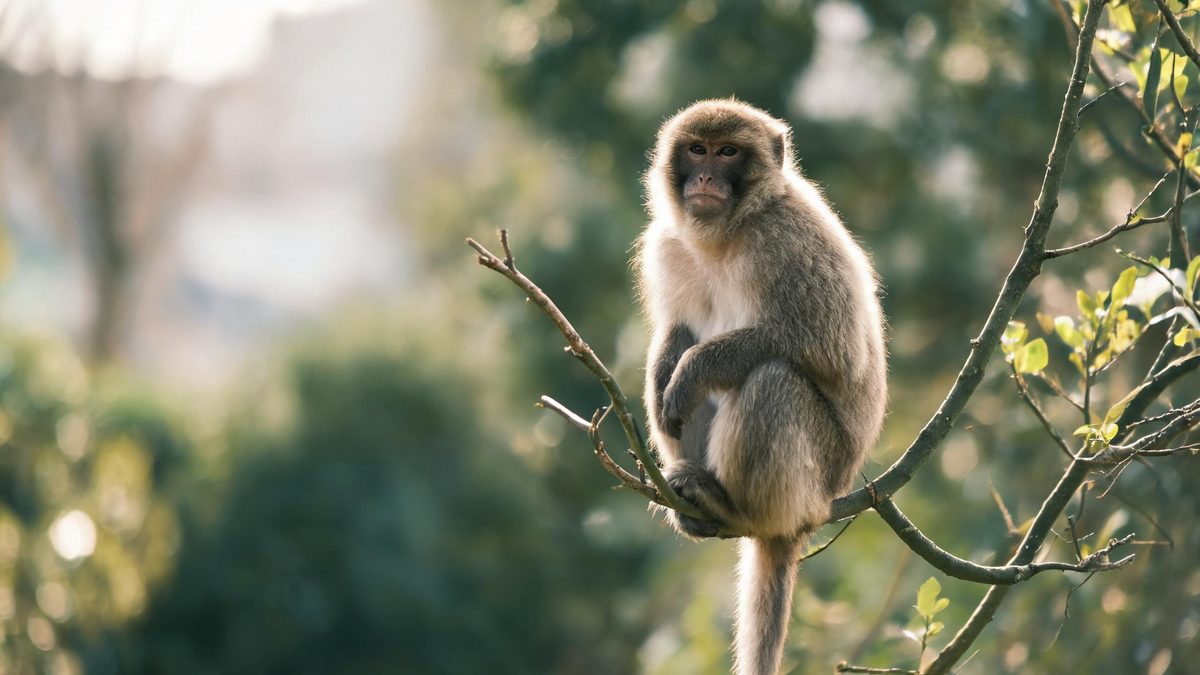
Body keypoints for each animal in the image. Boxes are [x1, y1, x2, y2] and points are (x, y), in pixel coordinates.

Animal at [636, 99, 887, 675]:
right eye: (698, 149)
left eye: (728, 152)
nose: (706, 176)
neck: (726, 233)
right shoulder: (667, 246)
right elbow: (675, 331)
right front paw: (669, 365)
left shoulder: (788, 238)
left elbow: (826, 345)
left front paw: (694, 368)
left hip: (815, 473)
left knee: (773, 378)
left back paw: (732, 507)